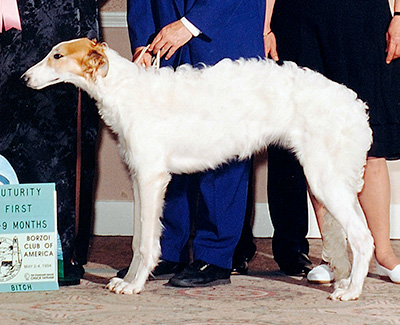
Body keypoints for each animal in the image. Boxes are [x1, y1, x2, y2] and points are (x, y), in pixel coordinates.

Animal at [23, 37, 374, 298]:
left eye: (57, 55)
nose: (24, 78)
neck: (126, 90)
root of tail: (355, 105)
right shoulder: (138, 177)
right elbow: (138, 239)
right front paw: (129, 279)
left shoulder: (152, 178)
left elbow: (146, 241)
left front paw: (134, 285)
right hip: (338, 182)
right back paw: (347, 281)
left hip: (324, 180)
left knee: (362, 237)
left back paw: (351, 291)